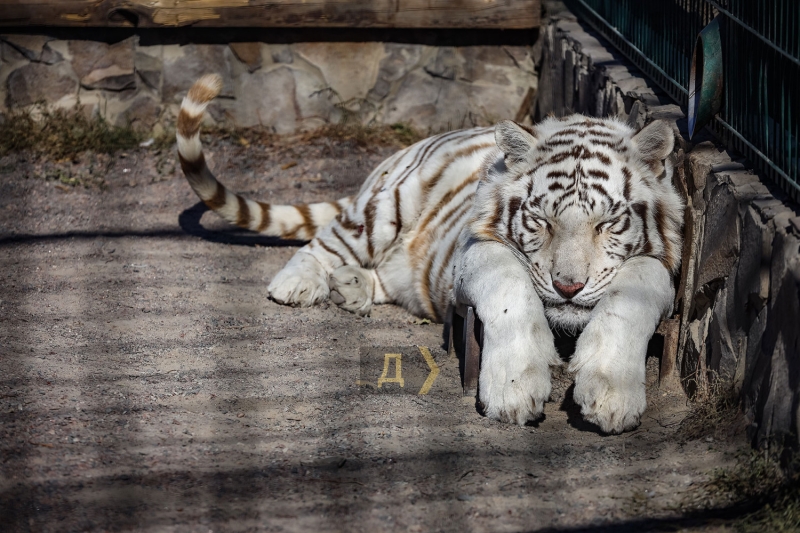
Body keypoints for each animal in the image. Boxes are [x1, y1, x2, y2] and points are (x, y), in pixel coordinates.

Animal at [178, 74, 684, 432]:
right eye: (541, 221)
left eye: (607, 224)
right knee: (327, 240)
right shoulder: (475, 252)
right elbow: (509, 289)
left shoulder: (662, 265)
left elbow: (635, 290)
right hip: (385, 207)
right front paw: (514, 388)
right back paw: (299, 283)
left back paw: (350, 287)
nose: (568, 286)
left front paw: (613, 394)